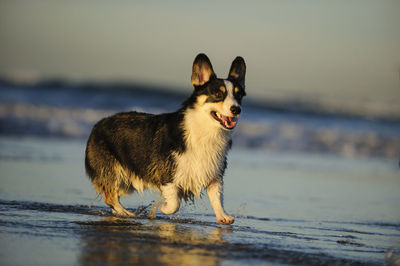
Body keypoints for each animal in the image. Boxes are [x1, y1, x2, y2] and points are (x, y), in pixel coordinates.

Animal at [86, 54, 245, 224]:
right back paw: (127, 214)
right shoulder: (167, 176)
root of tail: (98, 124)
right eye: (218, 94)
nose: (237, 109)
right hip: (113, 172)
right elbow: (174, 203)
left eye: (239, 96)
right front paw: (163, 207)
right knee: (110, 197)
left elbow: (217, 198)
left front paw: (223, 217)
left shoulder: (215, 176)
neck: (204, 132)